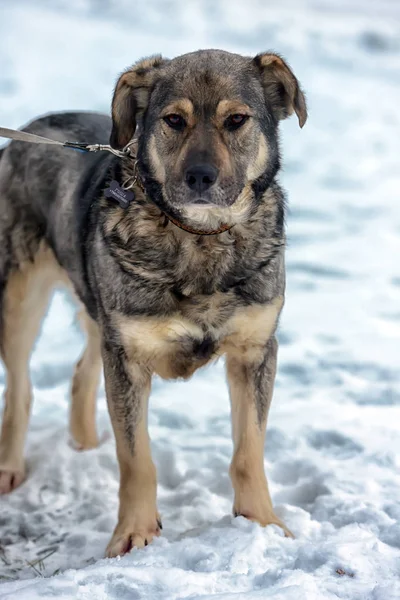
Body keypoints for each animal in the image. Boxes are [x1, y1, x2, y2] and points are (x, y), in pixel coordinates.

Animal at [0, 48, 308, 556]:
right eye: (174, 120)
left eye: (236, 120)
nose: (200, 177)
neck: (200, 239)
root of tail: (30, 128)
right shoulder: (128, 357)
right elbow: (136, 459)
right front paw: (134, 535)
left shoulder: (255, 352)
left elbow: (249, 450)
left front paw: (261, 524)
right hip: (22, 300)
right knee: (20, 387)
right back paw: (10, 466)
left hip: (100, 310)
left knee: (81, 372)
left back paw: (85, 447)